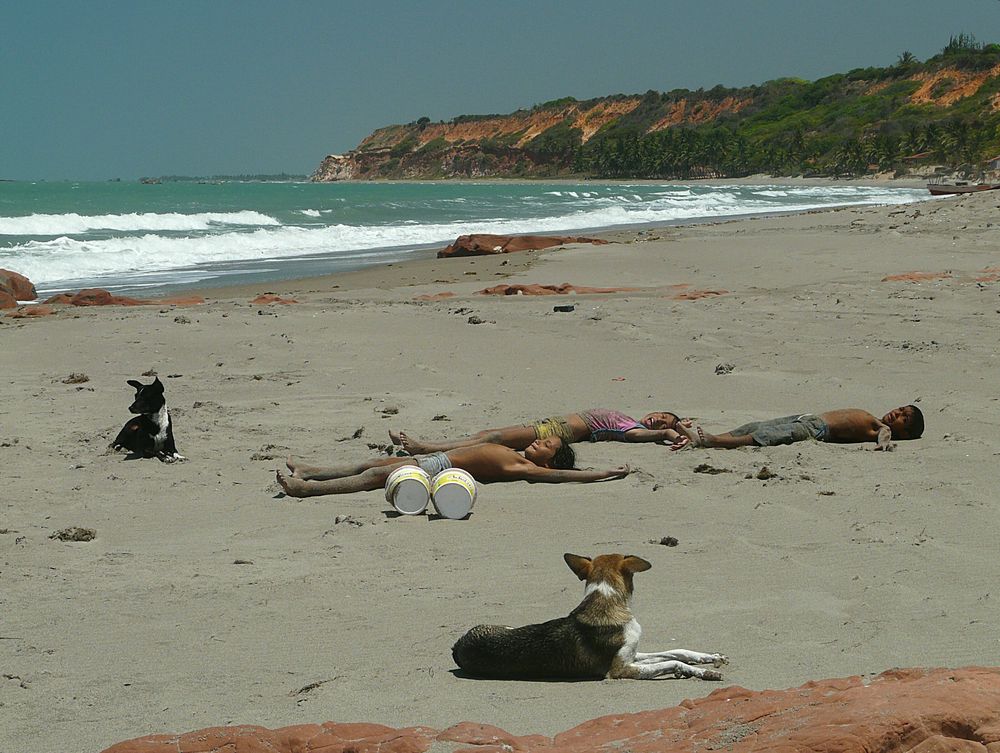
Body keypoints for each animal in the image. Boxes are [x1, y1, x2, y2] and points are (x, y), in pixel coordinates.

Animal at [454, 552, 728, 680]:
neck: (605, 600)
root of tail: (457, 646)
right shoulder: (620, 669)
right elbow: (671, 662)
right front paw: (702, 673)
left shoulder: (632, 654)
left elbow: (677, 652)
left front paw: (709, 658)